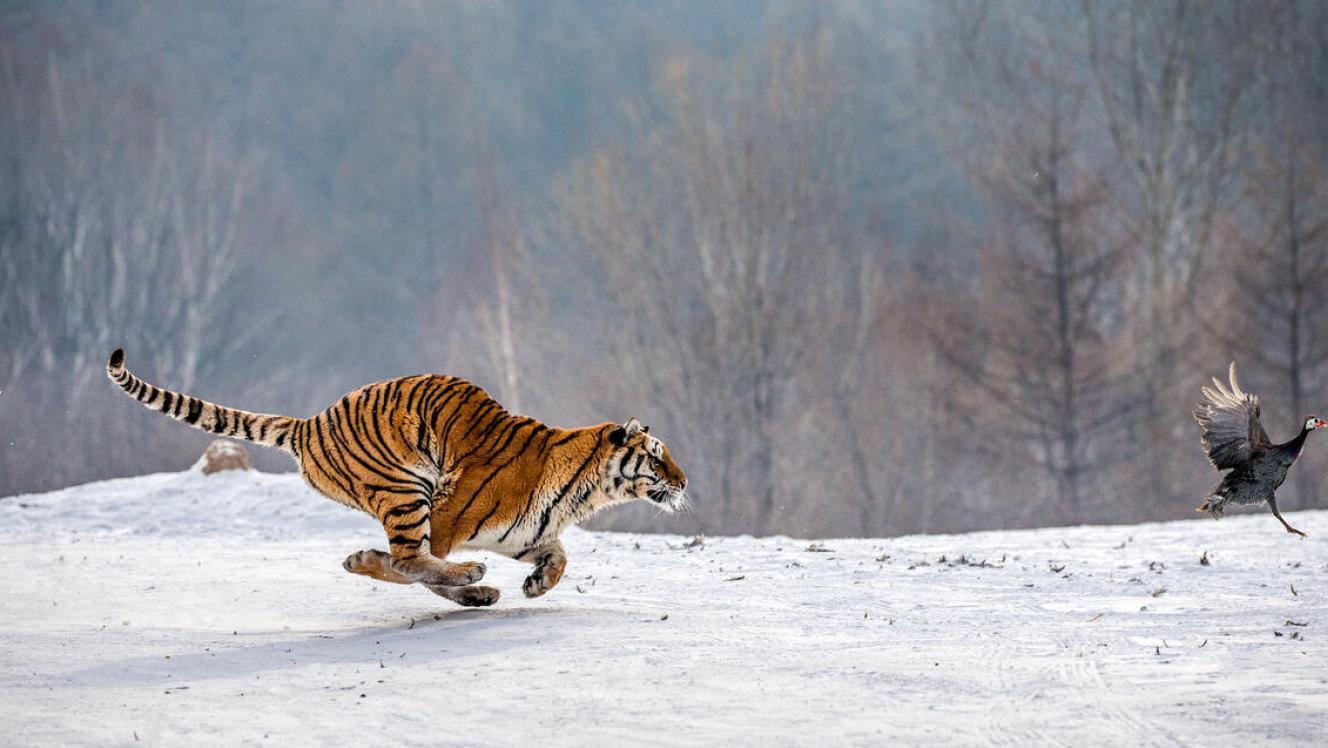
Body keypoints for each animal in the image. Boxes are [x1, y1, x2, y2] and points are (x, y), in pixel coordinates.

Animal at [106, 348, 688, 607]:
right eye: (658, 455)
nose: (684, 481)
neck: (585, 492)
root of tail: (309, 421)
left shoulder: (523, 535)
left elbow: (560, 557)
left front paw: (536, 584)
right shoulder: (450, 519)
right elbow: (410, 568)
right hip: (408, 487)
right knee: (410, 559)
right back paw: (469, 579)